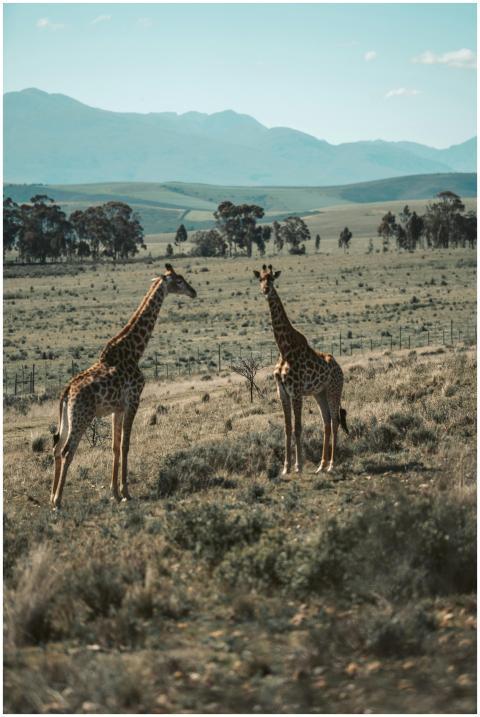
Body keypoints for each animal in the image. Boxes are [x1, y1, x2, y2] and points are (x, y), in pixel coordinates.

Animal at [50, 264, 196, 509]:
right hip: (82, 416)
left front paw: (116, 493)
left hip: (67, 418)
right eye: (178, 281)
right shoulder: (133, 401)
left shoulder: (116, 409)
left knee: (56, 448)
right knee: (67, 451)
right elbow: (126, 445)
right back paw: (58, 501)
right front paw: (126, 493)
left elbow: (115, 447)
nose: (193, 292)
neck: (134, 351)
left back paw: (51, 496)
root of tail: (67, 391)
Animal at [253, 264, 348, 475]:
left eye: (272, 278)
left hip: (334, 390)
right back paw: (321, 465)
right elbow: (287, 428)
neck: (284, 349)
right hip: (319, 393)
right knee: (326, 421)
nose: (265, 290)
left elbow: (297, 427)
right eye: (260, 279)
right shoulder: (282, 392)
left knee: (335, 421)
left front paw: (298, 466)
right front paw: (285, 467)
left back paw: (331, 465)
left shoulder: (296, 392)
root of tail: (340, 369)